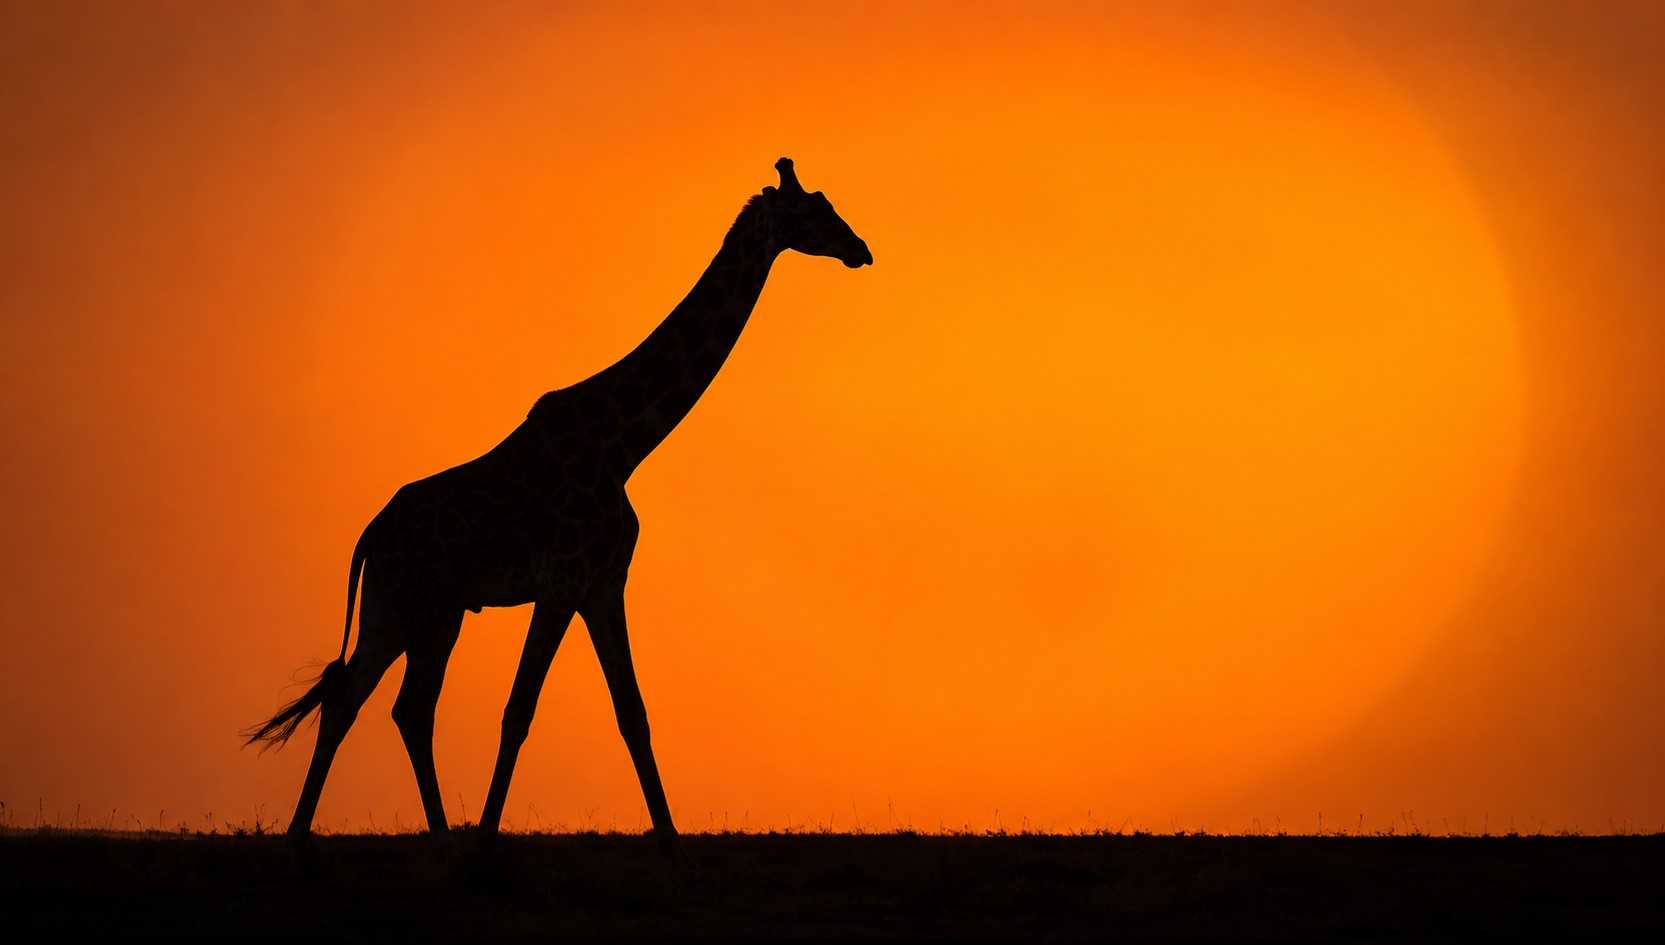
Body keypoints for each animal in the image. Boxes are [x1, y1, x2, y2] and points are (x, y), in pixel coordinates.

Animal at [245, 158, 871, 867]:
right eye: (812, 211)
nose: (860, 249)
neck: (626, 444)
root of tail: (368, 536)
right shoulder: (564, 579)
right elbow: (519, 709)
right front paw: (487, 837)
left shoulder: (604, 584)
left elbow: (633, 712)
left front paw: (671, 839)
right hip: (433, 610)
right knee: (408, 706)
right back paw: (441, 837)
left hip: (390, 613)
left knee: (348, 700)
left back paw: (303, 835)